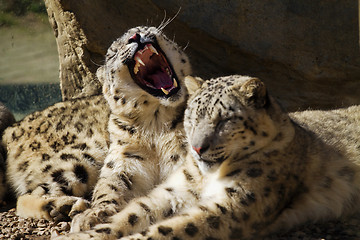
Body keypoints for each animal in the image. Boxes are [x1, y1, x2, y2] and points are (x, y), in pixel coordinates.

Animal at [1, 25, 193, 225]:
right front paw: (96, 214)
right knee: (28, 195)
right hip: (78, 159)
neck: (156, 122)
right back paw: (63, 206)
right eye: (113, 53)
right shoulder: (124, 162)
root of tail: (11, 129)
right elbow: (109, 187)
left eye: (146, 28)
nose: (135, 36)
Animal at [54, 75, 360, 240]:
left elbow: (172, 228)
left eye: (225, 120)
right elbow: (132, 213)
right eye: (193, 115)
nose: (198, 148)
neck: (207, 178)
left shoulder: (233, 204)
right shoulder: (174, 191)